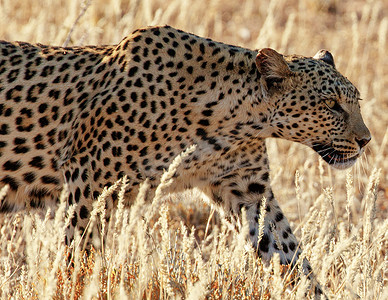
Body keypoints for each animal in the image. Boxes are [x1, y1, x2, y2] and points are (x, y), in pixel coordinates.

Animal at [0, 25, 370, 296]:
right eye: (332, 105)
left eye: (356, 101)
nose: (365, 140)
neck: (232, 121)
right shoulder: (89, 181)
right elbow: (79, 252)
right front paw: (73, 287)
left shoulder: (248, 190)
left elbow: (290, 255)